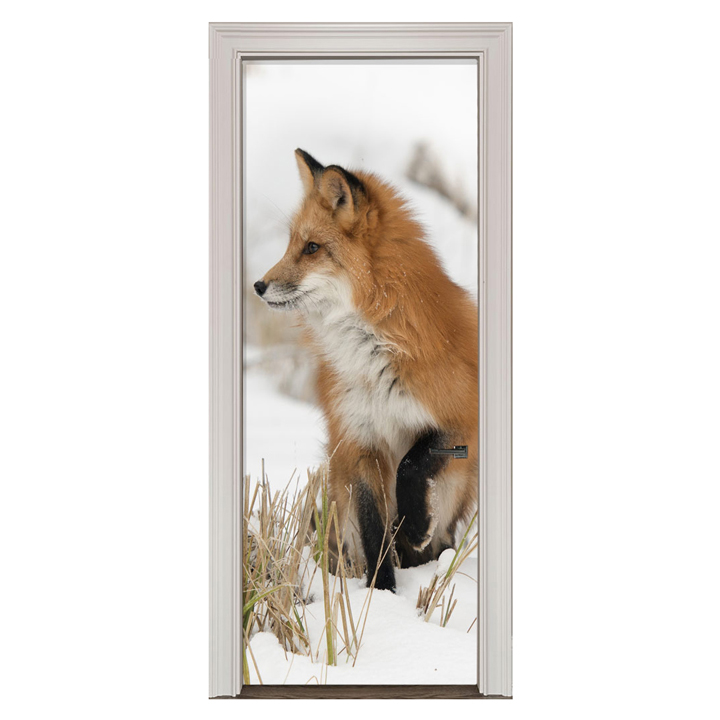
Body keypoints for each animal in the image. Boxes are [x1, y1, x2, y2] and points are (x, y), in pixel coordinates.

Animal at [254, 149, 478, 592]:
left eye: (312, 247)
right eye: (292, 244)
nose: (258, 285)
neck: (373, 355)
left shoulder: (462, 416)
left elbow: (412, 463)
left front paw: (414, 524)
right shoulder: (358, 440)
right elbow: (375, 531)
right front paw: (382, 595)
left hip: (454, 484)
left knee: (440, 539)